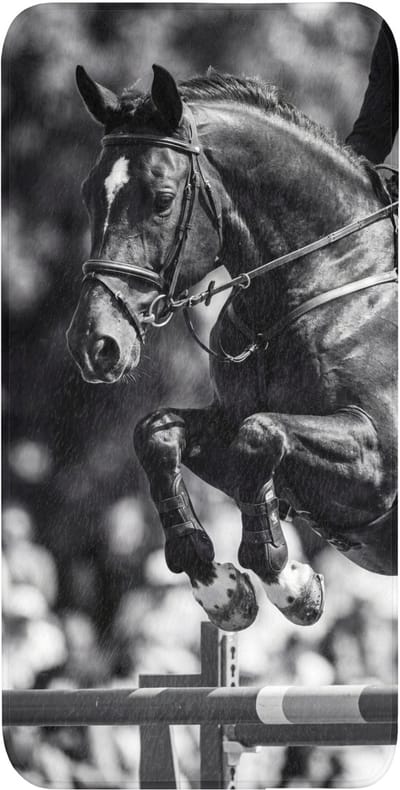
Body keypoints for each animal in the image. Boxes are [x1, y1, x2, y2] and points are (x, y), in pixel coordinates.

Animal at [67, 64, 397, 630]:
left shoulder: (379, 466)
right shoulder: (227, 426)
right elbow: (159, 434)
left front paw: (288, 581)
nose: (95, 343)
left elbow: (260, 434)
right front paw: (217, 584)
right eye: (90, 193)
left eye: (162, 199)